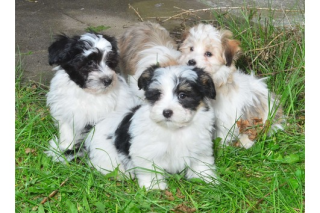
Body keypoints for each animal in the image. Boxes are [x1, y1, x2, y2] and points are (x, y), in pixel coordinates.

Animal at [46, 32, 138, 161]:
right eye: (90, 63)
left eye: (109, 62)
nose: (108, 80)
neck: (86, 92)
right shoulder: (65, 112)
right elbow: (67, 131)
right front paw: (66, 147)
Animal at [85, 65, 219, 190]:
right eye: (158, 94)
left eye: (182, 95)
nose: (166, 112)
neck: (173, 129)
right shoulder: (147, 151)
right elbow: (149, 168)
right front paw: (154, 186)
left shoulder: (200, 147)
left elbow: (201, 163)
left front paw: (205, 179)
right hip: (104, 150)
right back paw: (121, 174)